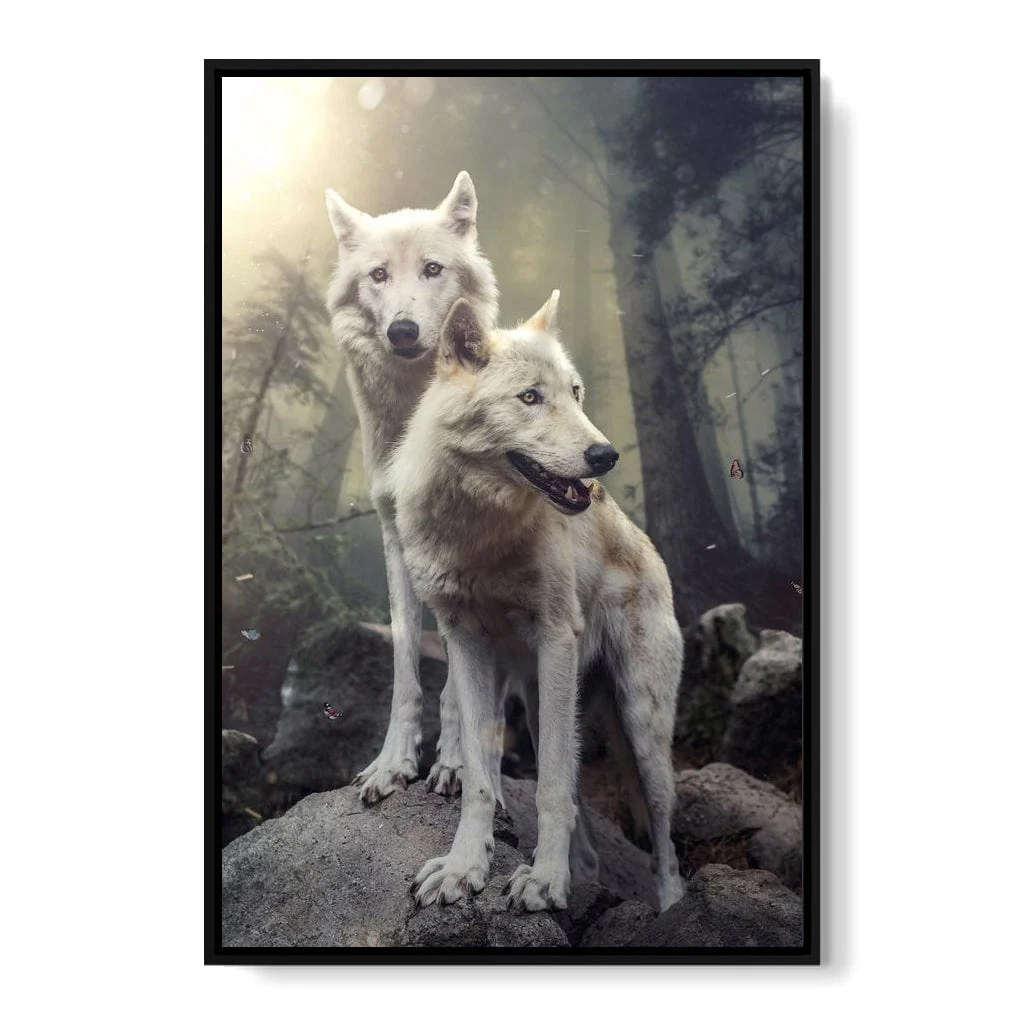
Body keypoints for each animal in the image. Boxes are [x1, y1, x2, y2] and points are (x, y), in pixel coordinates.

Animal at [325, 172, 499, 804]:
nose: (402, 330)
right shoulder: (395, 539)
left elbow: (459, 681)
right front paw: (391, 764)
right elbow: (404, 665)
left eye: (431, 269)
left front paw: (455, 764)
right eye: (379, 275)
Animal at [388, 292, 686, 912]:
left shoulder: (555, 639)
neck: (480, 534)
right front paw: (464, 868)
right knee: (584, 821)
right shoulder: (465, 645)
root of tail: (649, 547)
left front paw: (545, 881)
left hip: (641, 727)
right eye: (530, 397)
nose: (605, 455)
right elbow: (480, 777)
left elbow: (549, 786)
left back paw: (671, 908)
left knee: (663, 837)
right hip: (540, 697)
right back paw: (582, 873)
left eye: (574, 393)